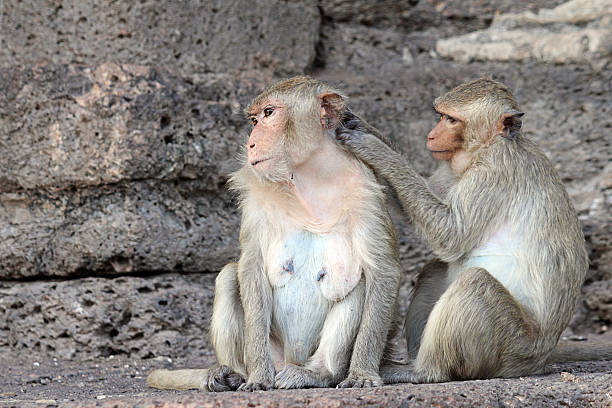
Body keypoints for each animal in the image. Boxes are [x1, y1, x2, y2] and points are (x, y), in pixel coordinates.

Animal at [145, 76, 402, 392]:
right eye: (255, 120)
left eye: (269, 113)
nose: (251, 142)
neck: (310, 178)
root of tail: (292, 359)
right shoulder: (255, 199)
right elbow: (251, 268)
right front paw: (257, 377)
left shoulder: (366, 191)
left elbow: (383, 272)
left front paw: (363, 373)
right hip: (273, 352)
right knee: (229, 276)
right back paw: (231, 374)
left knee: (360, 282)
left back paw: (317, 374)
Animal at [334, 78, 612, 384]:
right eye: (441, 115)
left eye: (452, 120)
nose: (431, 136)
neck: (489, 146)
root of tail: (541, 357)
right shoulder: (452, 169)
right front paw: (358, 123)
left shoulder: (493, 172)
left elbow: (450, 234)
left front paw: (374, 148)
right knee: (434, 270)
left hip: (512, 347)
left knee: (475, 282)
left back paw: (425, 371)